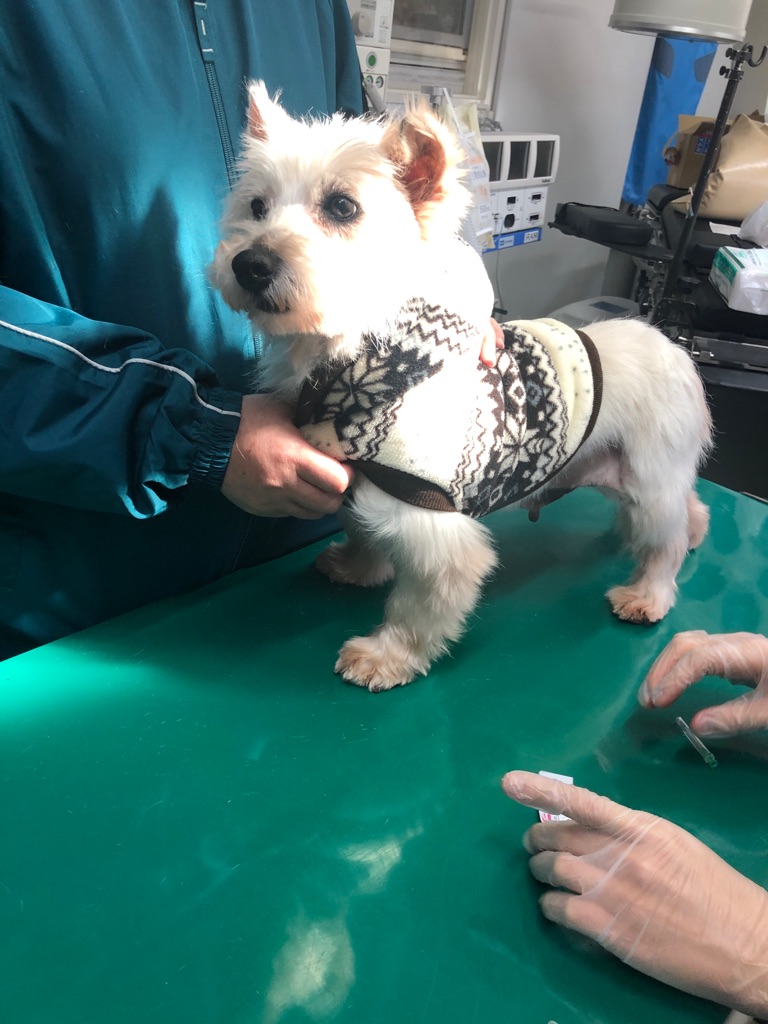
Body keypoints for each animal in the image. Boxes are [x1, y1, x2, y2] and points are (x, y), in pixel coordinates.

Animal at [209, 82, 713, 692]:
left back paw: (648, 595)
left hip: (649, 478)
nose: (250, 263)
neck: (369, 362)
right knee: (690, 510)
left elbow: (417, 605)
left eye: (342, 207)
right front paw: (357, 567)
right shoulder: (360, 483)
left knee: (665, 540)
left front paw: (385, 656)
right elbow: (364, 531)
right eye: (256, 206)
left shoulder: (436, 528)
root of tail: (675, 349)